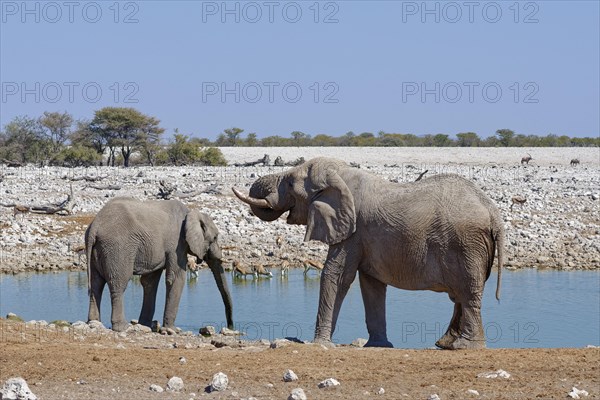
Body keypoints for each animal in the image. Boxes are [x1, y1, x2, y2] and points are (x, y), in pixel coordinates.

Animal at [84, 197, 232, 332]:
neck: (191, 213)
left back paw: (94, 322)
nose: (230, 326)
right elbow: (176, 279)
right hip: (118, 249)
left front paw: (145, 325)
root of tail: (95, 226)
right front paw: (172, 330)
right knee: (118, 284)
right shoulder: (177, 245)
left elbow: (149, 282)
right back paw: (122, 327)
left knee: (96, 284)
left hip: (97, 250)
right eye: (215, 238)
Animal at [232, 158, 504, 348]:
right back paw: (445, 344)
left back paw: (464, 346)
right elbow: (371, 285)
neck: (341, 175)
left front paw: (319, 344)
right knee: (460, 295)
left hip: (466, 244)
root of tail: (493, 212)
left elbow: (337, 276)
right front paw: (378, 345)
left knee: (467, 292)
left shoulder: (353, 231)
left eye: (290, 183)